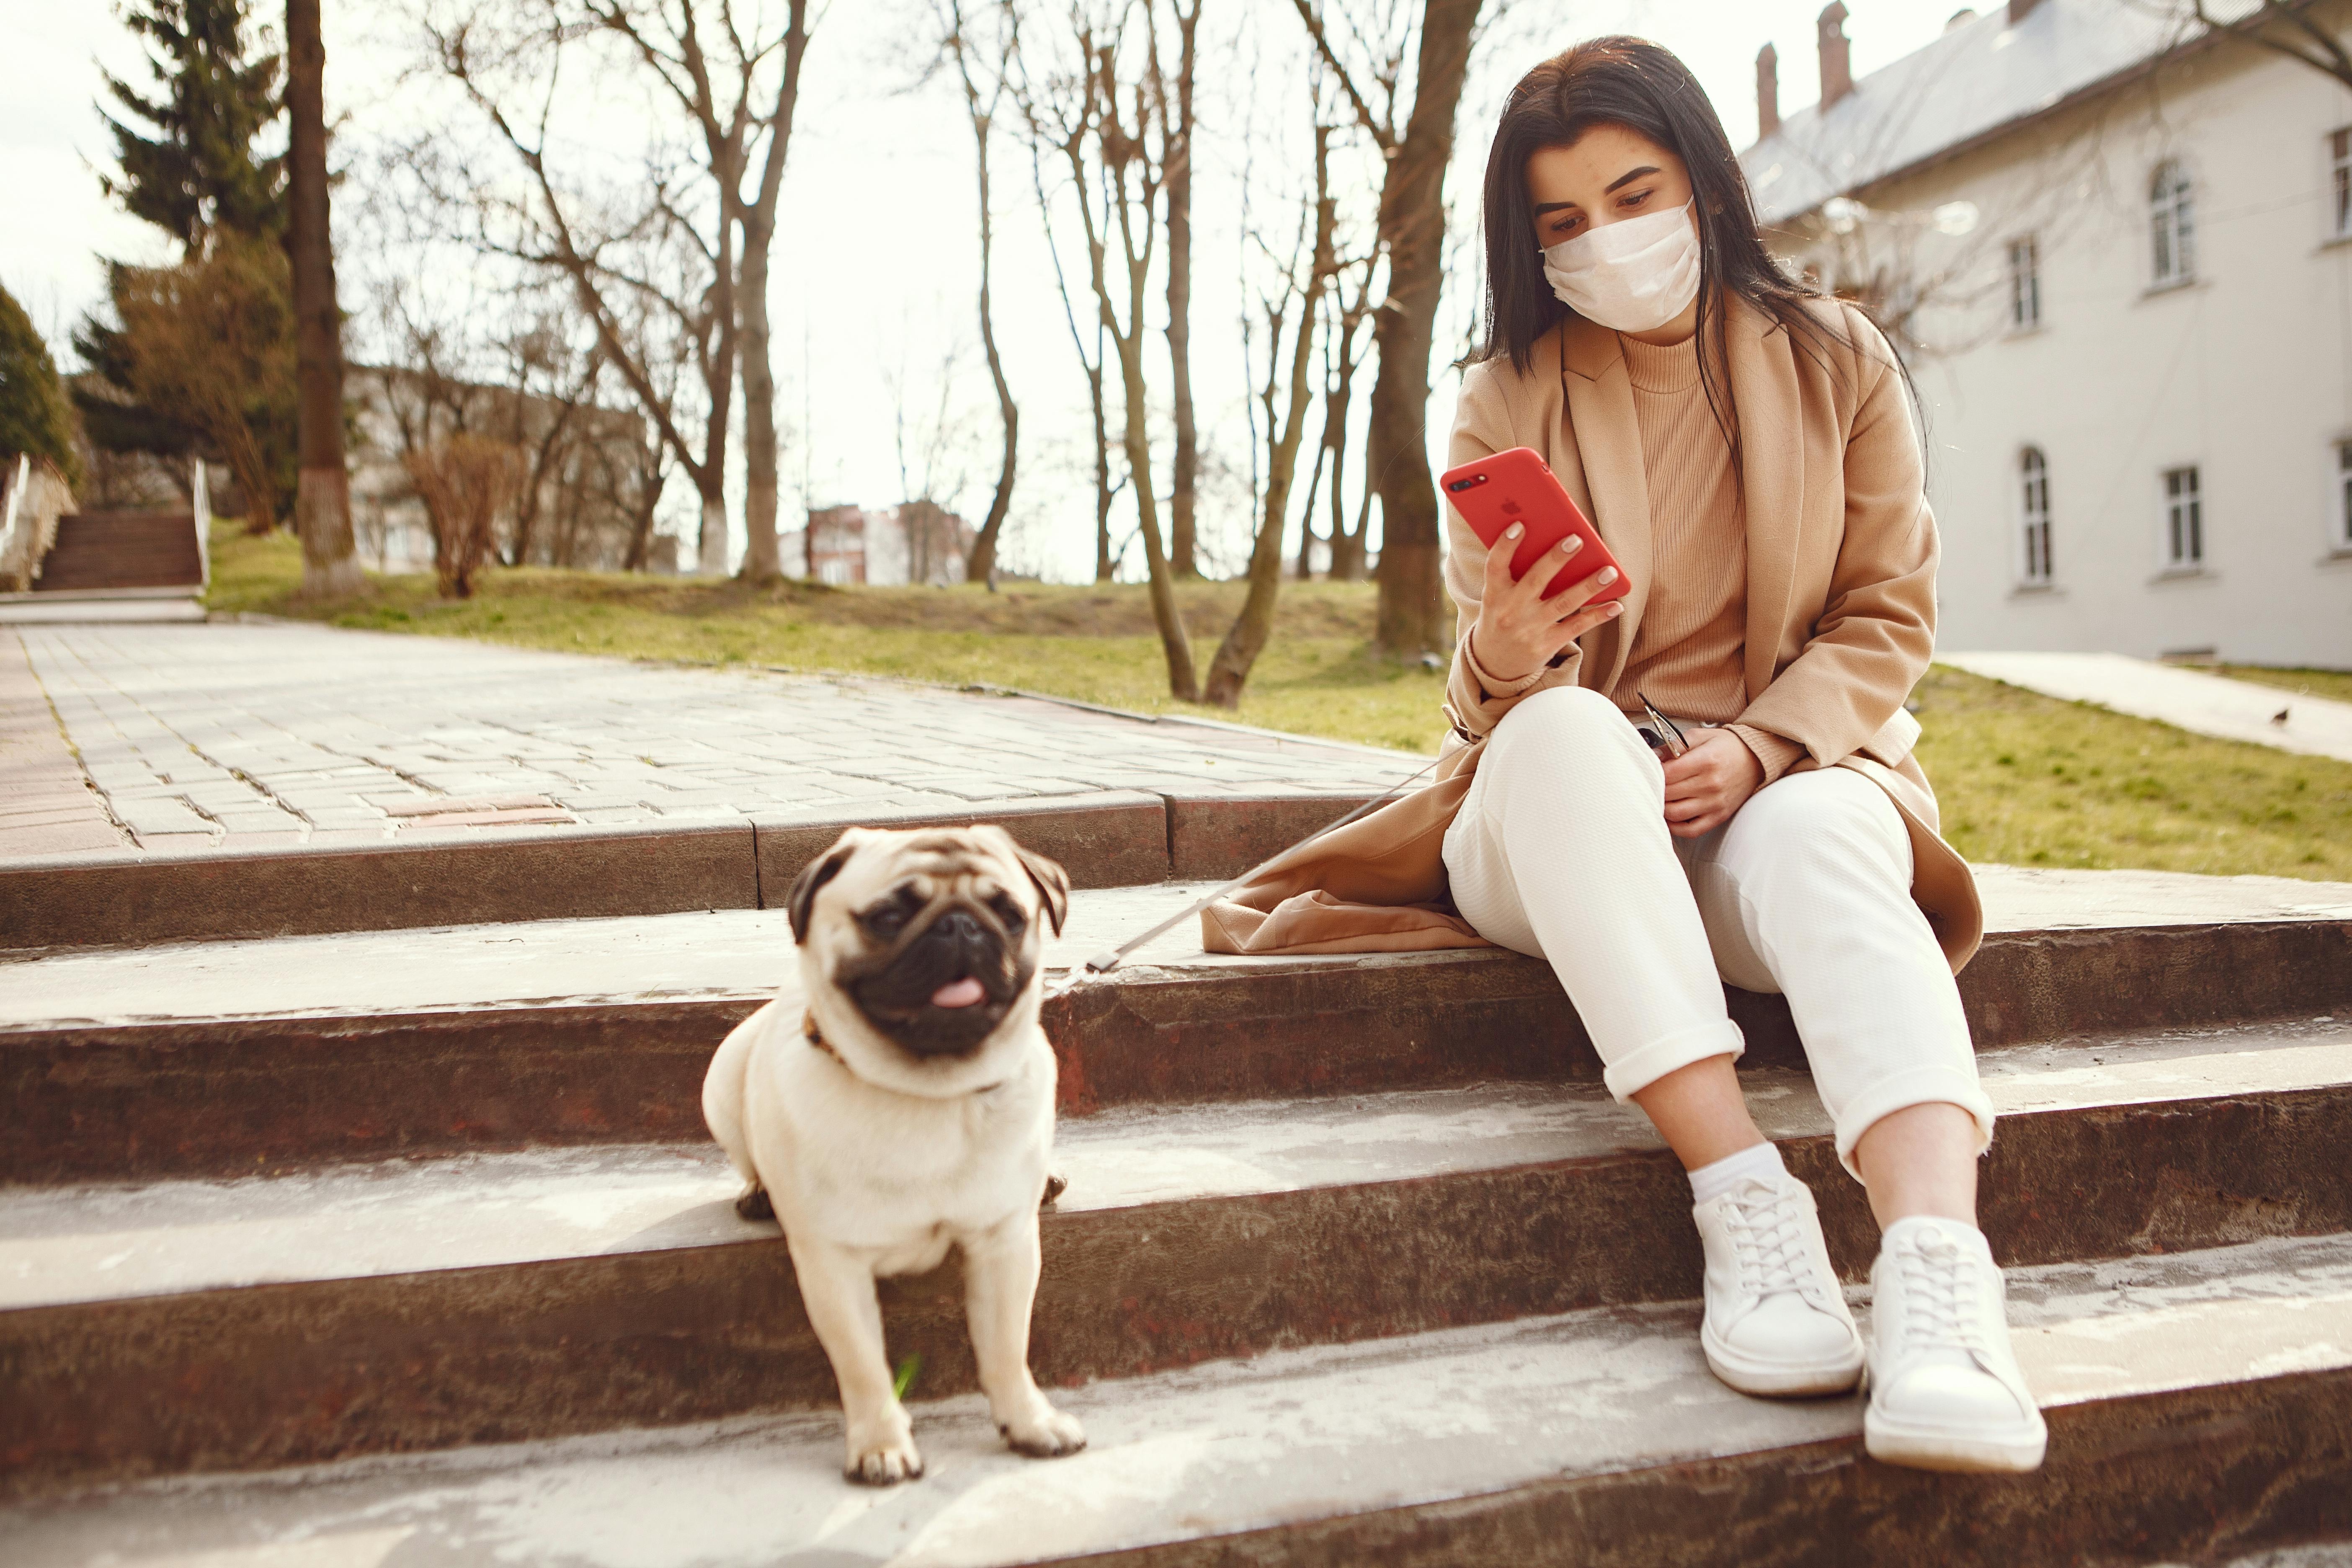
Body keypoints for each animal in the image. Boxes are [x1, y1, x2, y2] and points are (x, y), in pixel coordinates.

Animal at [701, 823, 1086, 1485]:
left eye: (1011, 914)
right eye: (887, 917)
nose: (961, 925)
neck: (929, 1091)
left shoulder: (1004, 1248)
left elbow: (1008, 1349)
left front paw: (1030, 1422)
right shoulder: (833, 1266)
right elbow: (863, 1366)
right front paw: (880, 1446)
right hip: (722, 1080)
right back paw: (757, 1195)